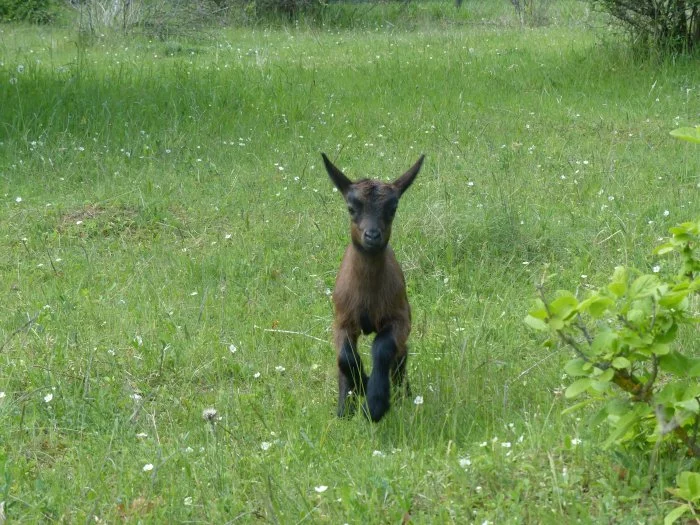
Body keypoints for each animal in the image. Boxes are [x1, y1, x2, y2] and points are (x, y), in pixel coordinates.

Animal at [320, 152, 424, 422]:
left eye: (393, 209)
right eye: (351, 208)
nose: (372, 235)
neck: (367, 297)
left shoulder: (400, 318)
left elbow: (382, 348)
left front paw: (375, 403)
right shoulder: (342, 320)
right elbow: (345, 357)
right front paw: (361, 387)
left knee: (400, 356)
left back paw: (403, 395)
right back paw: (344, 410)